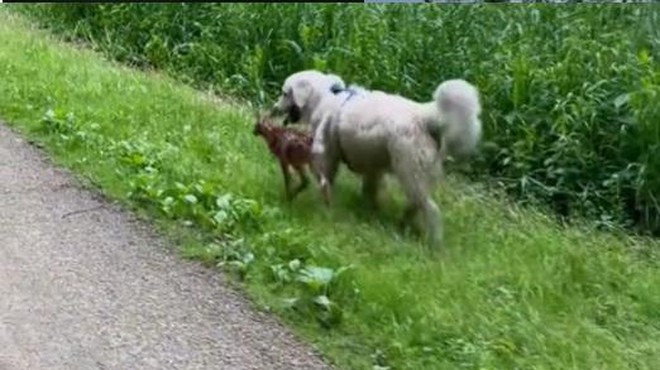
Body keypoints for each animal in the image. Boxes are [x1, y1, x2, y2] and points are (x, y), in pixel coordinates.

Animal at [270, 69, 482, 249]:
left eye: (284, 93)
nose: (273, 108)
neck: (324, 96)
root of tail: (426, 116)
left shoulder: (326, 156)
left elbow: (326, 182)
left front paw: (324, 206)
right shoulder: (372, 168)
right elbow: (369, 191)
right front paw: (369, 211)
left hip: (409, 172)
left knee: (431, 210)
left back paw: (434, 244)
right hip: (417, 177)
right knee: (417, 204)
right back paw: (403, 222)